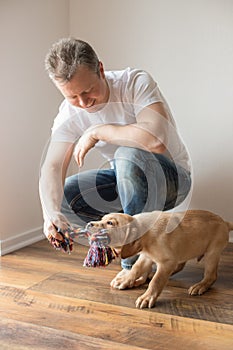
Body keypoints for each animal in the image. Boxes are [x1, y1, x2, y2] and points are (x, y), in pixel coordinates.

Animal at [88, 209, 232, 308]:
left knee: (211, 276)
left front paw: (147, 298)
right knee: (180, 265)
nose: (89, 224)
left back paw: (200, 286)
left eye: (110, 223)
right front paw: (125, 280)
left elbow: (156, 281)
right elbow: (136, 269)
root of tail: (225, 222)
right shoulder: (146, 257)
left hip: (212, 253)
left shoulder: (167, 262)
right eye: (102, 219)